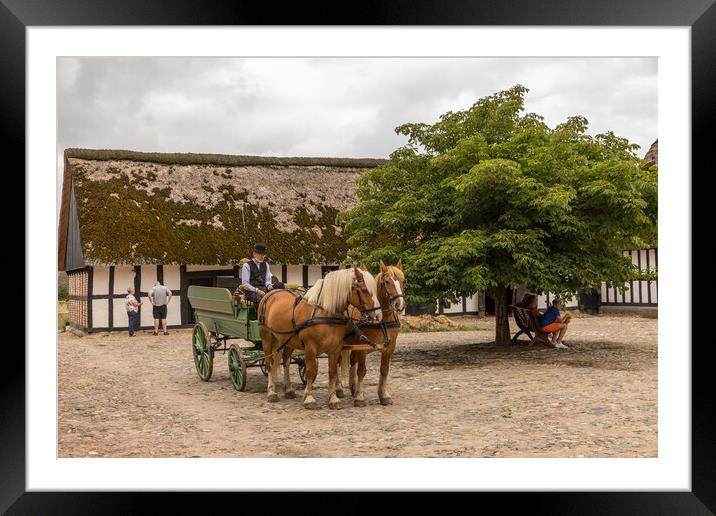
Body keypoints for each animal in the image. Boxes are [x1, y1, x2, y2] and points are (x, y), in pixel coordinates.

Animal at [258, 268, 380, 410]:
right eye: (364, 289)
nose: (376, 315)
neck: (324, 313)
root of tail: (270, 293)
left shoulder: (335, 349)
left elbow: (332, 372)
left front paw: (333, 399)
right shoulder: (310, 348)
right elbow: (310, 371)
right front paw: (309, 399)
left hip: (288, 341)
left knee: (286, 362)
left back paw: (288, 390)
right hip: (267, 339)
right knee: (269, 363)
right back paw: (271, 392)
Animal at [342, 262, 406, 408]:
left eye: (403, 280)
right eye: (387, 282)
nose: (399, 305)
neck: (382, 320)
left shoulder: (389, 348)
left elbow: (384, 370)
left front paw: (383, 395)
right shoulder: (363, 347)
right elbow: (362, 371)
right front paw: (360, 397)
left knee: (352, 360)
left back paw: (353, 387)